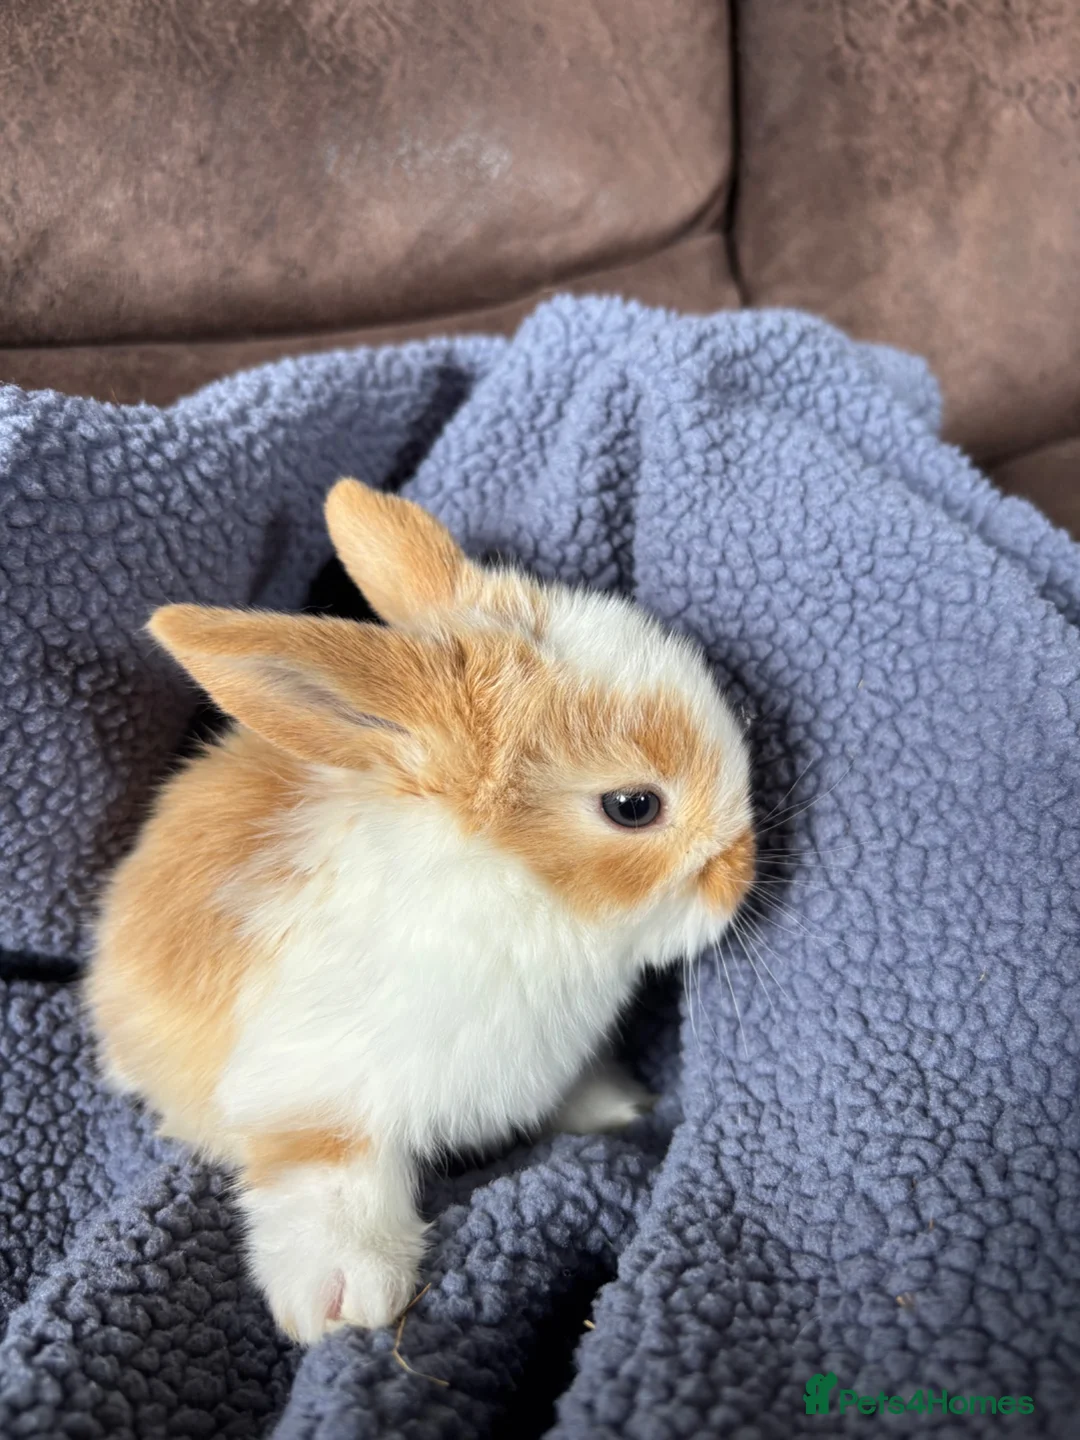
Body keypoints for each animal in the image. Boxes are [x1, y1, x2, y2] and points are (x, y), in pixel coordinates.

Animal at [85, 478, 756, 1346]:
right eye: (634, 806)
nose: (741, 873)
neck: (512, 885)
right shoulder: (312, 1091)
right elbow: (329, 1176)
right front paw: (346, 1300)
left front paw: (616, 1104)